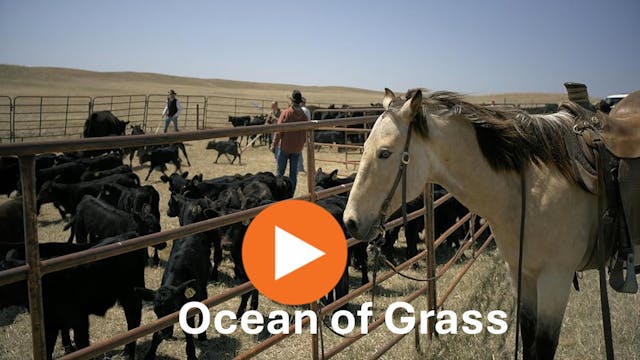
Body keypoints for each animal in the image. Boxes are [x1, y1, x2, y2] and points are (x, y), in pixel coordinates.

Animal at [342, 88, 628, 358]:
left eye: (384, 153)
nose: (350, 222)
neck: (532, 189)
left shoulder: (556, 277)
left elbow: (543, 347)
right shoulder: (522, 272)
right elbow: (528, 340)